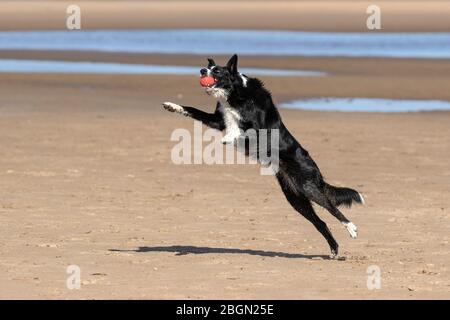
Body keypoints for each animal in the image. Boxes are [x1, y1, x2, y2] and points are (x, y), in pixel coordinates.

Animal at [163, 53, 364, 258]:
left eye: (216, 71)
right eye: (208, 68)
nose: (202, 71)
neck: (235, 94)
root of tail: (317, 171)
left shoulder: (260, 128)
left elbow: (241, 129)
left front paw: (229, 137)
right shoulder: (218, 120)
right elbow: (192, 110)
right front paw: (172, 106)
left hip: (309, 188)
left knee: (331, 207)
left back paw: (351, 228)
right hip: (295, 199)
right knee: (321, 223)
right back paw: (333, 250)